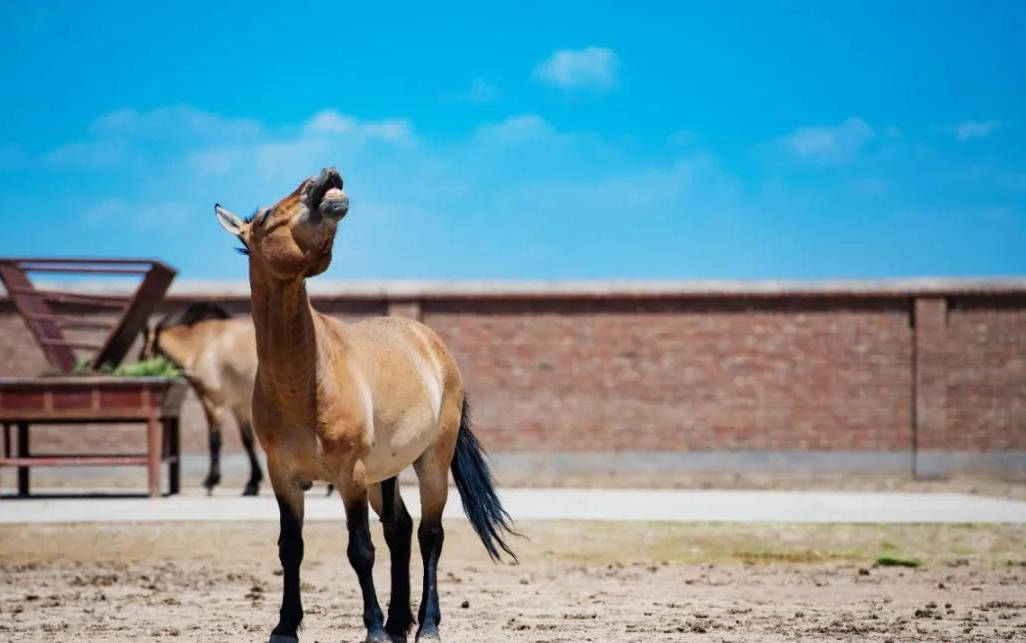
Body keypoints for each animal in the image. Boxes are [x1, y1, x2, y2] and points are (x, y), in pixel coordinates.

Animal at [142, 303, 266, 496]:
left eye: (145, 357)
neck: (202, 344)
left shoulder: (212, 403)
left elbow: (214, 440)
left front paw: (211, 480)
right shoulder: (239, 405)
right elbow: (247, 440)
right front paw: (252, 483)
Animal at [213, 167, 517, 643]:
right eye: (264, 217)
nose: (324, 178)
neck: (305, 382)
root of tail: (432, 344)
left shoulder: (350, 476)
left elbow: (360, 550)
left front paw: (373, 628)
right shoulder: (283, 477)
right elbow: (291, 548)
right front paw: (285, 626)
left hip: (431, 461)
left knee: (430, 534)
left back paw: (426, 625)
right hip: (383, 474)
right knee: (400, 529)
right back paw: (398, 623)